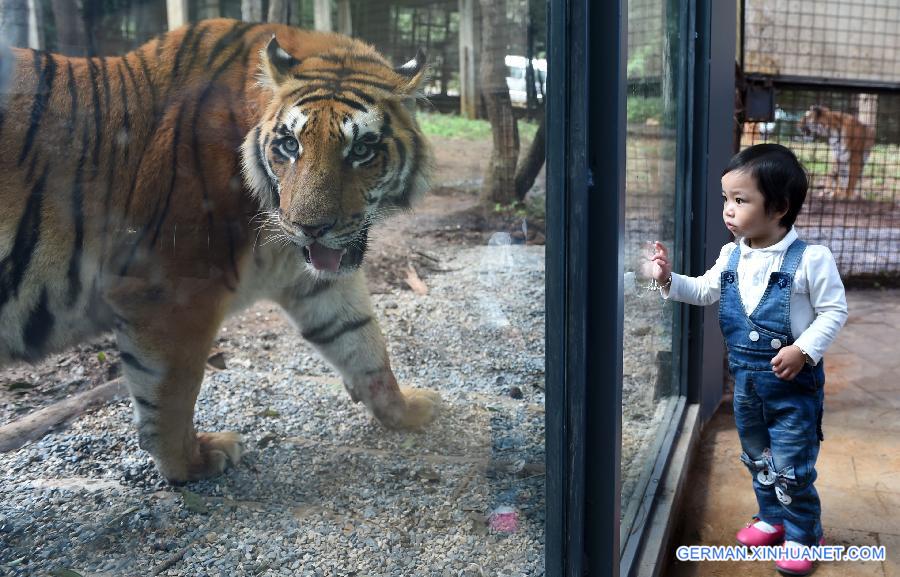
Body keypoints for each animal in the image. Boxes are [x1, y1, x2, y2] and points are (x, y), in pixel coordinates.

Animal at [0, 19, 440, 482]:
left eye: (361, 150)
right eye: (290, 146)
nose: (309, 228)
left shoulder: (313, 280)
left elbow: (363, 342)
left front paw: (404, 408)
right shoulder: (169, 291)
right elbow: (171, 392)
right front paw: (189, 464)